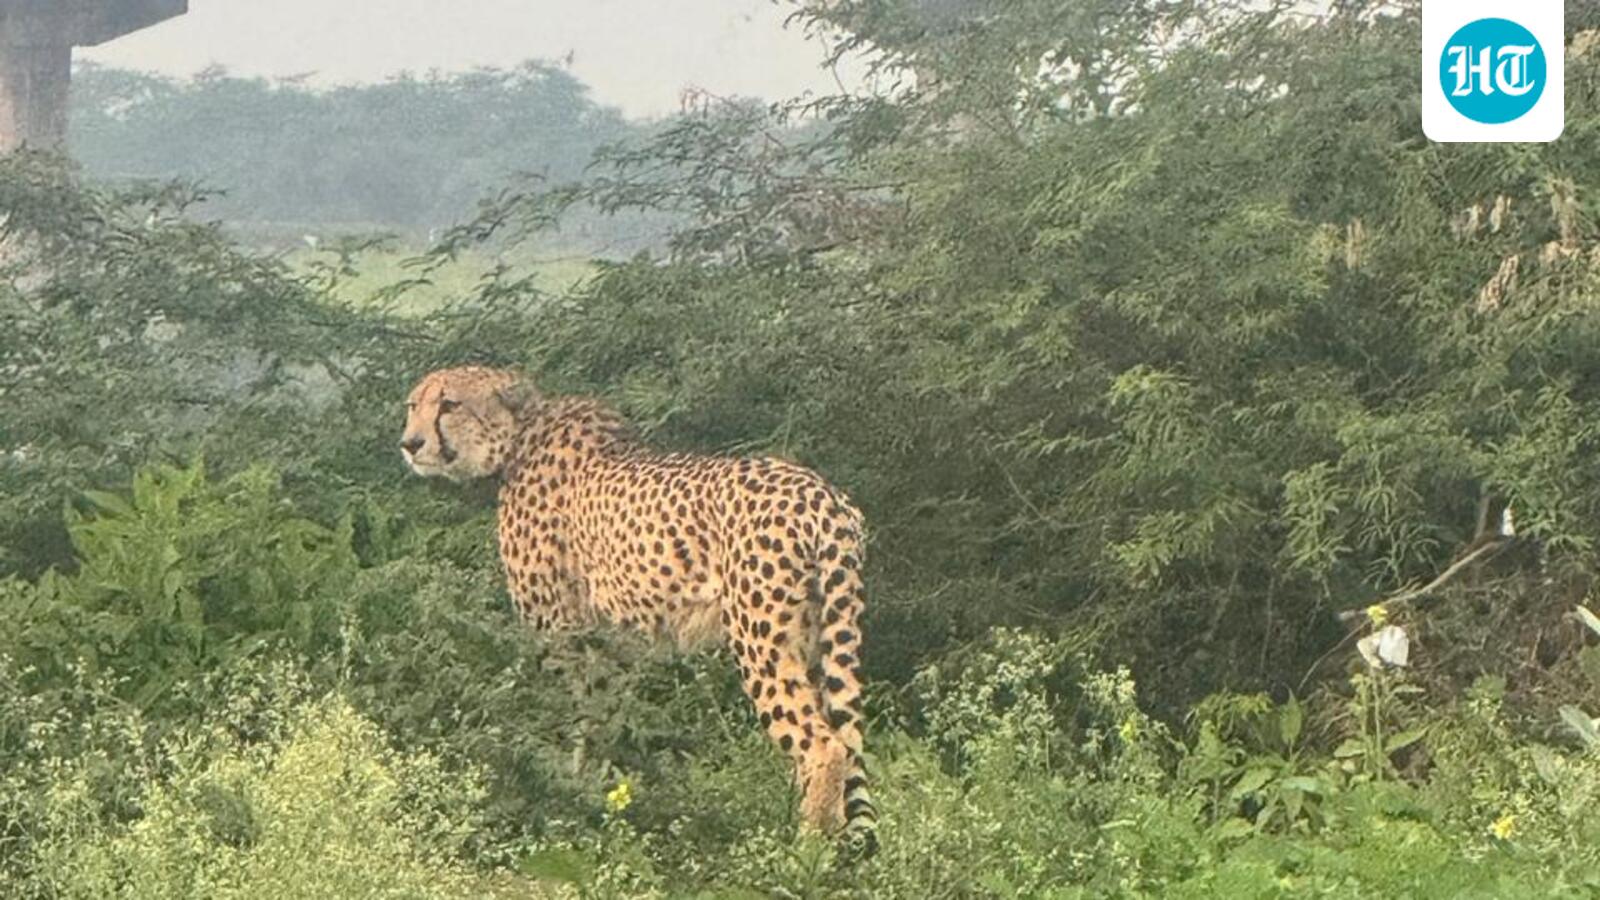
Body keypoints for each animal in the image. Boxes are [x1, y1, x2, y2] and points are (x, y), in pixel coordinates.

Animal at [400, 365, 877, 848]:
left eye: (450, 404)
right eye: (414, 405)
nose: (410, 443)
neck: (520, 435)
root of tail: (824, 495)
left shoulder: (560, 632)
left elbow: (565, 720)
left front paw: (560, 799)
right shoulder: (609, 646)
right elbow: (599, 726)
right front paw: (594, 799)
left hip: (761, 640)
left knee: (823, 743)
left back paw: (806, 849)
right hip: (818, 636)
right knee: (839, 736)